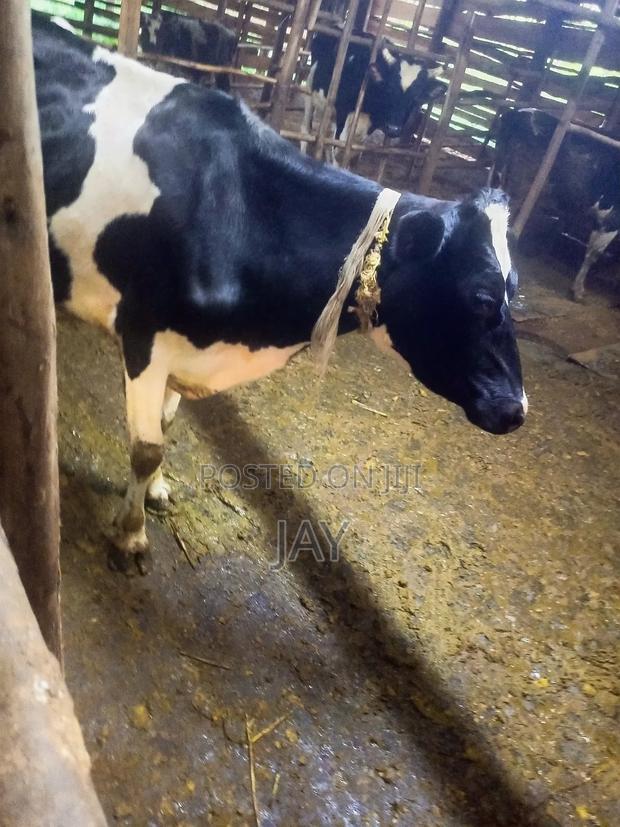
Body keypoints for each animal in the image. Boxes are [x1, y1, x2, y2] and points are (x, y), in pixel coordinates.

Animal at [301, 32, 445, 158]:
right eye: (389, 89)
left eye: (416, 98)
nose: (393, 129)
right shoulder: (343, 111)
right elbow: (338, 146)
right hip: (309, 89)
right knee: (306, 129)